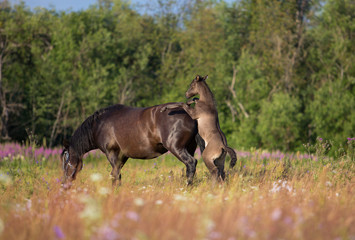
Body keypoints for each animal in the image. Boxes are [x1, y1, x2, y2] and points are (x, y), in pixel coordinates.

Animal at [62, 103, 204, 188]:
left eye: (66, 162)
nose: (64, 184)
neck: (99, 125)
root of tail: (191, 115)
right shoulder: (123, 156)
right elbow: (117, 174)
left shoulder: (112, 153)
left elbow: (115, 174)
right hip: (190, 148)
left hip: (176, 148)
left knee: (191, 163)